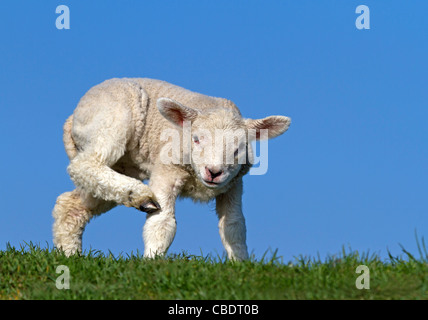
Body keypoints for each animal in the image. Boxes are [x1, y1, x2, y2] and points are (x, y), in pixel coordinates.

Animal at [51, 77, 290, 260]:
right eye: (196, 139)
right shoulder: (166, 171)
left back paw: (69, 254)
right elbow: (163, 223)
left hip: (121, 164)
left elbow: (234, 227)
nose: (213, 172)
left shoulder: (233, 184)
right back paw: (140, 196)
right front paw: (152, 260)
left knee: (73, 202)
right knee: (85, 164)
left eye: (238, 148)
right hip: (112, 116)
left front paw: (240, 264)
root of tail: (71, 119)